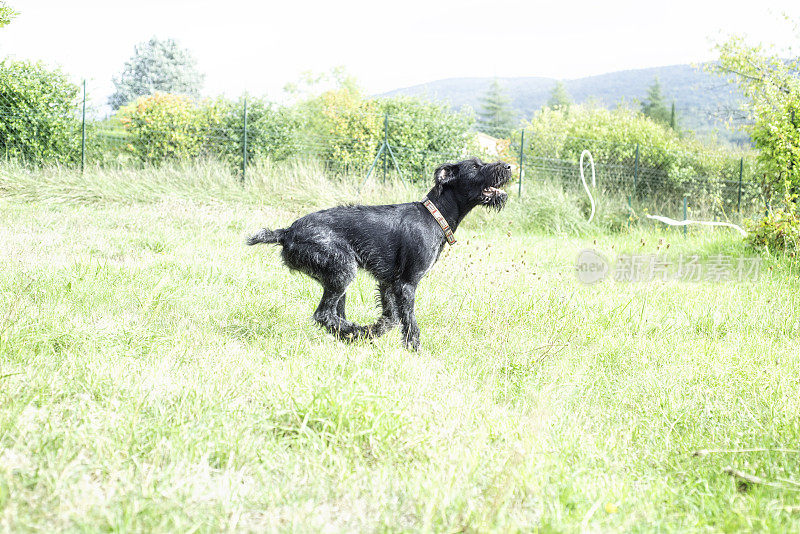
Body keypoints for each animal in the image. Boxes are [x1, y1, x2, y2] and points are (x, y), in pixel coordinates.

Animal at [247, 158, 512, 352]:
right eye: (475, 166)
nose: (509, 166)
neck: (435, 216)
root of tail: (286, 232)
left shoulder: (388, 283)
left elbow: (391, 317)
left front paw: (377, 329)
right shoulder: (407, 284)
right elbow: (410, 322)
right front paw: (414, 351)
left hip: (337, 279)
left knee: (333, 315)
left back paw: (354, 335)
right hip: (342, 269)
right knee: (323, 314)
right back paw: (355, 332)